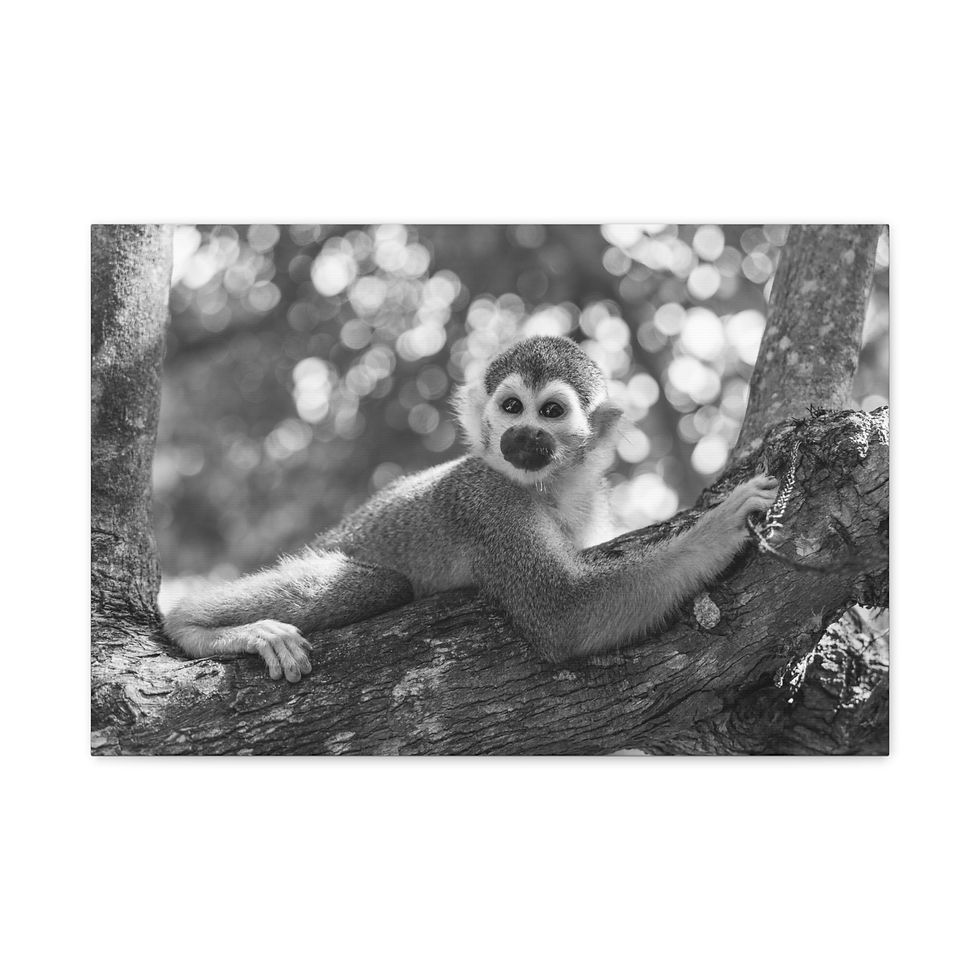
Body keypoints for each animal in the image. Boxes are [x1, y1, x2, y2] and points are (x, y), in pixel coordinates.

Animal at [163, 335, 778, 681]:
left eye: (550, 412)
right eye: (510, 407)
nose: (523, 435)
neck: (543, 486)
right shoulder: (484, 503)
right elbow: (564, 613)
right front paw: (719, 529)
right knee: (382, 585)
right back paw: (194, 624)